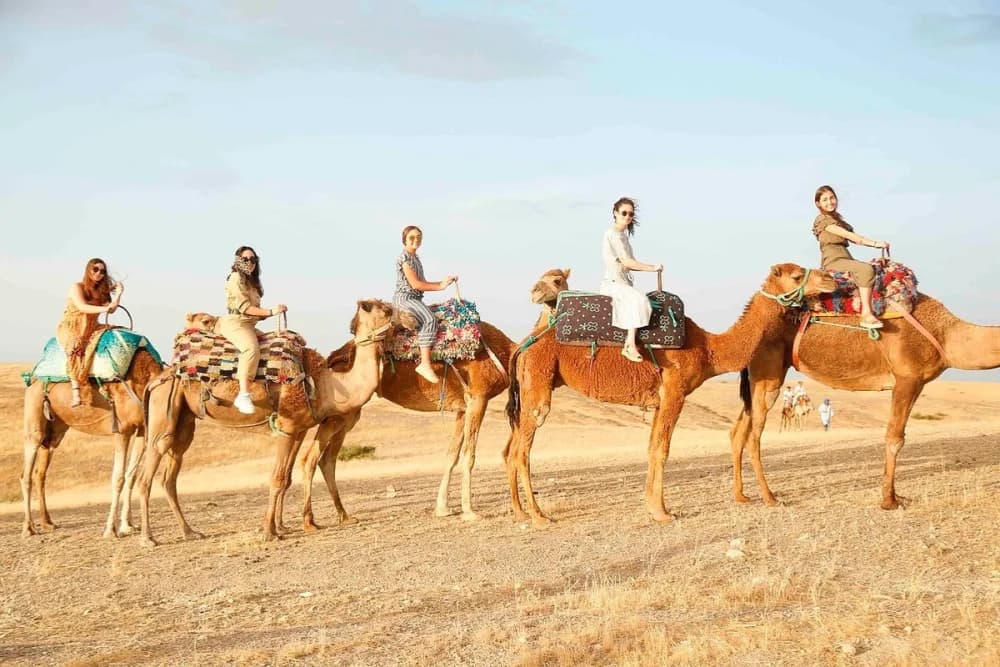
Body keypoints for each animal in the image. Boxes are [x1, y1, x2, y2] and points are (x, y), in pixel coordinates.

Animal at [21, 347, 163, 538]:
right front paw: (111, 530)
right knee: (26, 474)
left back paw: (47, 523)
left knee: (40, 473)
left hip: (54, 431)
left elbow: (131, 476)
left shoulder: (141, 430)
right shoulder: (122, 430)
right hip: (34, 418)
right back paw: (28, 528)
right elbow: (118, 478)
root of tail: (33, 381)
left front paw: (128, 525)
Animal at [136, 299, 395, 546]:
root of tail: (159, 377)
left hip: (184, 420)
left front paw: (281, 527)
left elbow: (287, 477)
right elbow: (277, 478)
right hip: (163, 410)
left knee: (170, 474)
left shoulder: (298, 430)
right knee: (148, 472)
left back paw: (190, 532)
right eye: (380, 309)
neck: (323, 384)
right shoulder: (287, 426)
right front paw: (269, 532)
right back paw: (148, 538)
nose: (397, 317)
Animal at [297, 268, 574, 529]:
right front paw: (469, 511)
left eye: (557, 280)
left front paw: (442, 508)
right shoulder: (478, 397)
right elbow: (469, 454)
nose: (535, 292)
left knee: (327, 459)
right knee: (312, 458)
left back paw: (343, 515)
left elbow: (451, 455)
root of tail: (334, 355)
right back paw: (311, 520)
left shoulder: (463, 407)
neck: (505, 352)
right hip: (340, 412)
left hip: (349, 413)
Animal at [503, 263, 838, 525]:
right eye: (797, 275)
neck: (708, 348)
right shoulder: (675, 391)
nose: (832, 279)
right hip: (538, 387)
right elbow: (662, 450)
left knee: (513, 449)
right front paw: (662, 512)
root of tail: (523, 346)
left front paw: (652, 507)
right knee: (521, 451)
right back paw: (539, 516)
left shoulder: (660, 400)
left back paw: (521, 513)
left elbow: (652, 447)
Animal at [729, 292, 1000, 510]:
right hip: (769, 374)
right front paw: (889, 500)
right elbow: (895, 438)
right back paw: (770, 497)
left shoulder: (918, 383)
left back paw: (742, 496)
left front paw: (895, 496)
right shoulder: (907, 378)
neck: (946, 334)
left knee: (739, 430)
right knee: (754, 434)